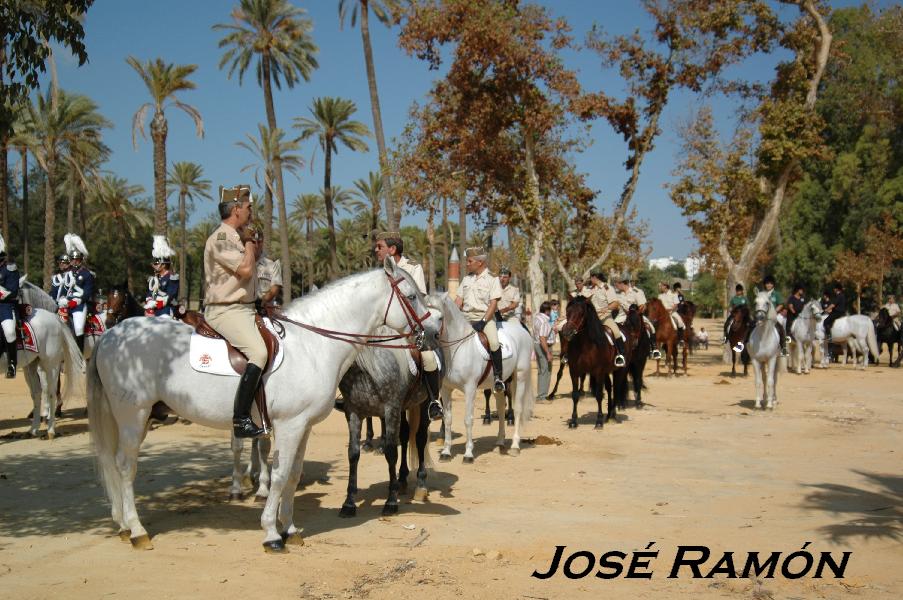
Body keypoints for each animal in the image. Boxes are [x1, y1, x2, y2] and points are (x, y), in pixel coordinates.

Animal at [432, 292, 532, 462]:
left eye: (440, 317)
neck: (456, 349)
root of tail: (521, 329)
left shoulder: (470, 388)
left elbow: (468, 419)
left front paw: (468, 454)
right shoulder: (446, 389)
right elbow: (448, 418)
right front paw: (446, 452)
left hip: (520, 376)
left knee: (518, 409)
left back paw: (515, 446)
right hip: (499, 383)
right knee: (500, 408)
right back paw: (499, 443)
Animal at [556, 296, 620, 428]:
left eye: (581, 313)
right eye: (568, 311)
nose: (567, 332)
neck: (586, 346)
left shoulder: (598, 371)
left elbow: (599, 395)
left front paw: (599, 421)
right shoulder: (574, 371)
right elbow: (575, 395)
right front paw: (573, 420)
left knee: (615, 389)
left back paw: (612, 415)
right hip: (606, 372)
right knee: (609, 388)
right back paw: (609, 415)